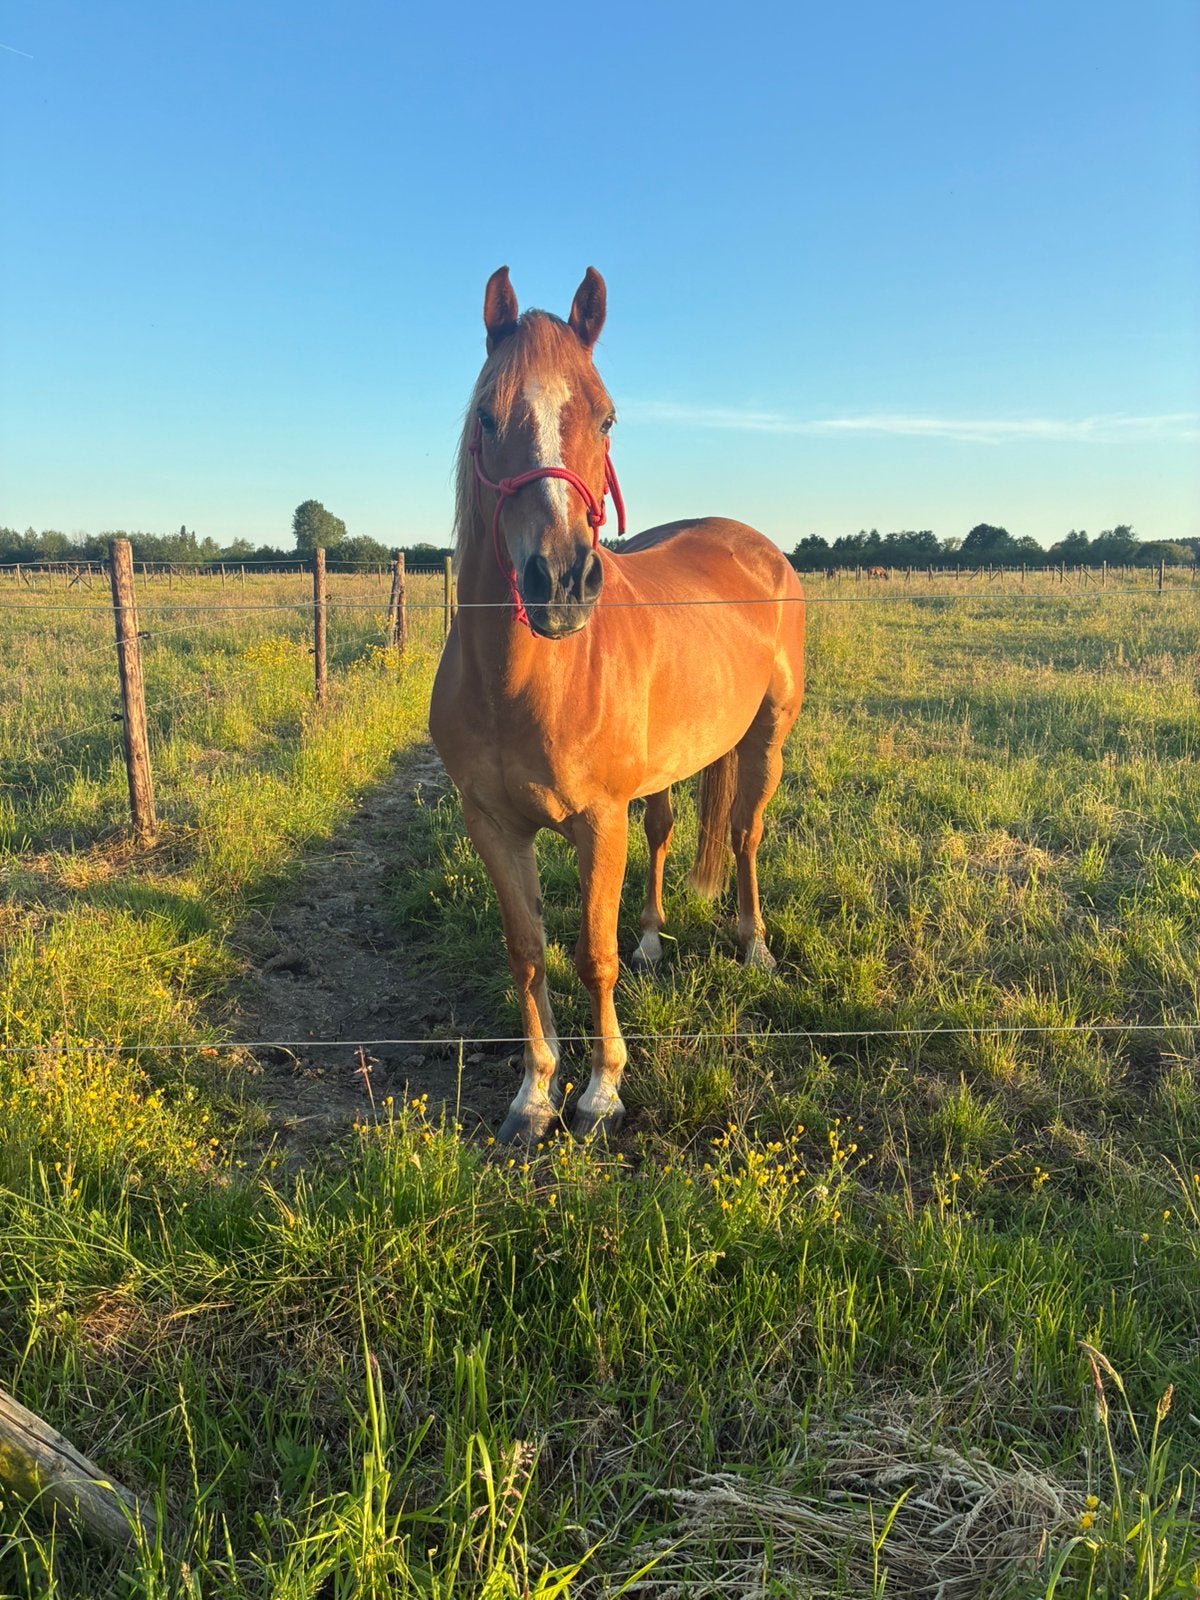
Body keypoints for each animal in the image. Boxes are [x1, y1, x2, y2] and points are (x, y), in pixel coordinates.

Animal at [429, 267, 806, 1143]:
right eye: (490, 414)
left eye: (606, 416)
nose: (562, 581)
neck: (521, 683)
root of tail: (757, 546)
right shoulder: (492, 824)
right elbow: (527, 951)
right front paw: (535, 1095)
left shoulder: (598, 822)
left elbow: (589, 954)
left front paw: (602, 1092)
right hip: (667, 768)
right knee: (667, 831)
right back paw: (653, 942)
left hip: (766, 741)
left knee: (746, 835)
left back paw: (755, 946)